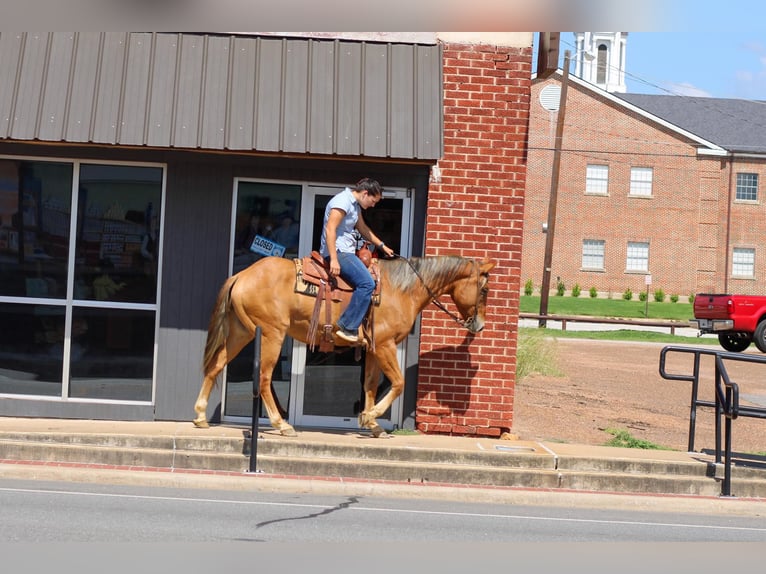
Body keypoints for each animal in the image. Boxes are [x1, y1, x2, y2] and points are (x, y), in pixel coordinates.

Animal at [194, 254, 498, 438]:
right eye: (484, 290)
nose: (480, 326)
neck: (402, 289)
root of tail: (242, 275)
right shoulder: (385, 345)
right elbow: (398, 383)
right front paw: (371, 416)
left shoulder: (374, 349)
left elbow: (371, 385)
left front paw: (372, 423)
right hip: (271, 334)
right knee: (265, 378)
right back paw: (282, 424)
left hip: (241, 332)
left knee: (216, 366)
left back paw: (200, 416)